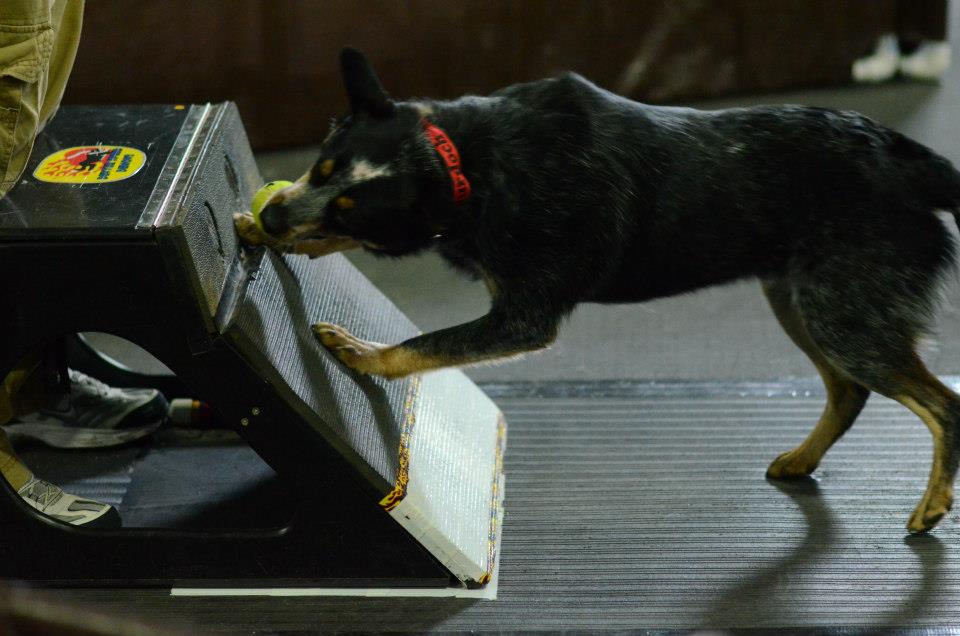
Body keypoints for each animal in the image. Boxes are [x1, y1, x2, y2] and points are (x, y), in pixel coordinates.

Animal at [234, 47, 960, 532]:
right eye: (321, 166)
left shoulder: (524, 316)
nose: (273, 217)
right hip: (800, 300)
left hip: (844, 313)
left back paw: (931, 504)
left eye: (352, 210)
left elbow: (420, 345)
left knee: (941, 403)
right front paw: (261, 228)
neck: (467, 163)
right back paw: (805, 458)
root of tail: (904, 156)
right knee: (849, 391)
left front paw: (361, 353)